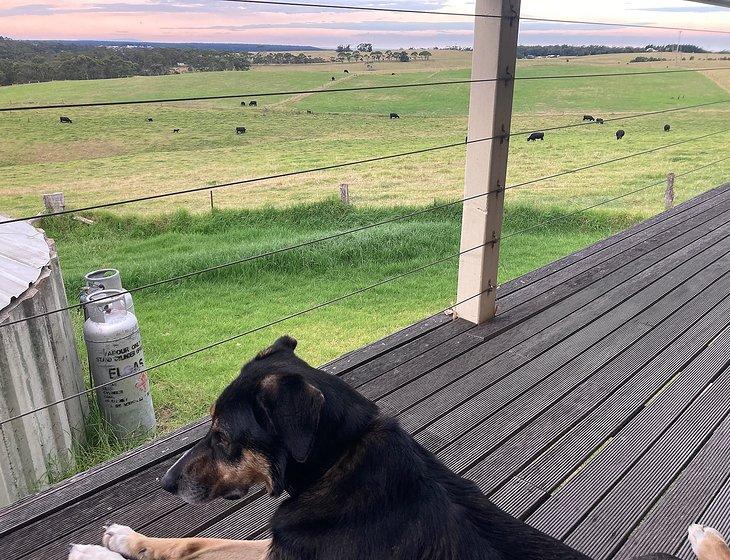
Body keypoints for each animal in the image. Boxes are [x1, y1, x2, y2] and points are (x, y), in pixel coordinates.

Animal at [71, 336, 720, 560]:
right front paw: (125, 538)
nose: (164, 484)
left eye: (223, 437)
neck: (339, 460)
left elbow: (204, 546)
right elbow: (197, 540)